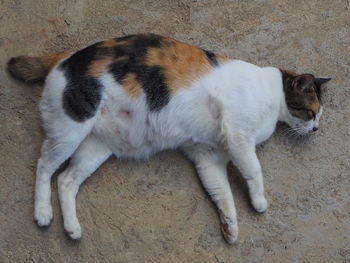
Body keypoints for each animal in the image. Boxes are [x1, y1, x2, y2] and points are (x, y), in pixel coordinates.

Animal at [6, 33, 330, 245]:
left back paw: (72, 228)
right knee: (44, 167)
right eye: (312, 113)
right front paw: (260, 202)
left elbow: (222, 193)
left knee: (66, 180)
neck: (272, 96)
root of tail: (64, 57)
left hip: (95, 148)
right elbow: (254, 170)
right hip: (71, 129)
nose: (316, 130)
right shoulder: (238, 135)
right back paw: (42, 213)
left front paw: (230, 226)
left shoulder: (208, 156)